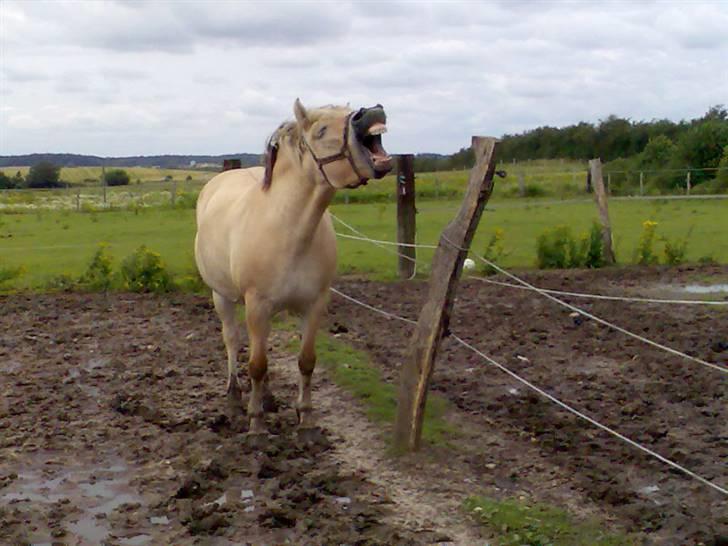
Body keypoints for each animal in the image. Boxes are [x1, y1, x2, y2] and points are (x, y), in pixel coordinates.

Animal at [191, 99, 390, 434]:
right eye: (321, 130)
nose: (372, 111)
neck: (289, 228)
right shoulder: (256, 304)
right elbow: (256, 365)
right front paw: (256, 425)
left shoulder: (314, 304)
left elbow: (305, 361)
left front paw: (305, 419)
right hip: (222, 296)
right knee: (232, 340)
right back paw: (234, 397)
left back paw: (267, 398)